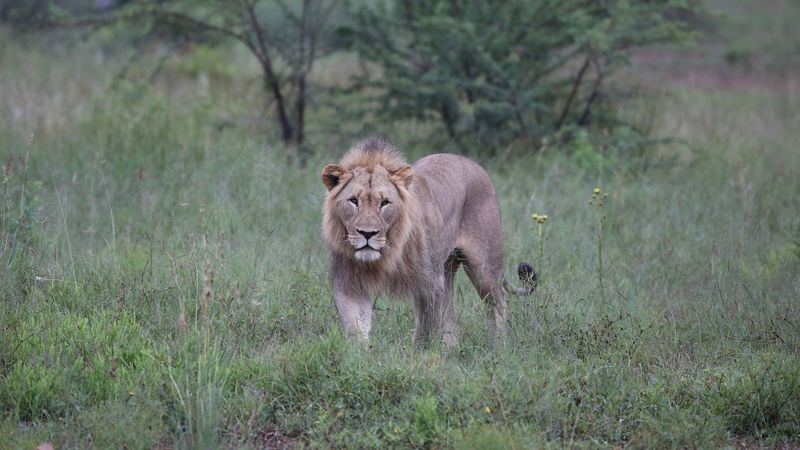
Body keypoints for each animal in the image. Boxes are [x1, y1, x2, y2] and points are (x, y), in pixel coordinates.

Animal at [321, 137, 536, 347]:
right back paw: (451, 348)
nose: (367, 233)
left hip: (483, 267)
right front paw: (360, 355)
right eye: (353, 201)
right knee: (449, 311)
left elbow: (426, 330)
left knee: (499, 299)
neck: (388, 252)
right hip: (447, 268)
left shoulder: (429, 284)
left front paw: (418, 356)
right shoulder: (348, 282)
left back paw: (498, 344)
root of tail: (474, 164)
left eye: (385, 203)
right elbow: (355, 327)